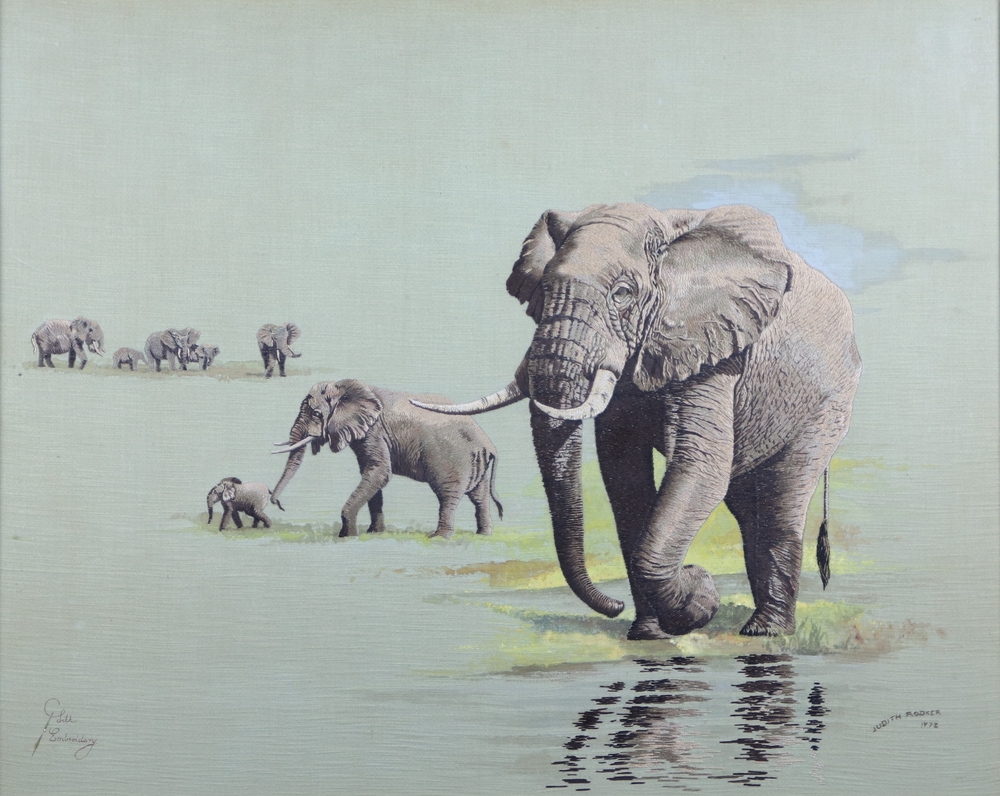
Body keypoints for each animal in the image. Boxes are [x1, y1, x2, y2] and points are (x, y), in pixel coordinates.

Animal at [270, 380, 503, 539]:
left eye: (317, 414)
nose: (277, 503)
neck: (345, 387)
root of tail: (489, 445)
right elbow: (371, 474)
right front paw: (374, 533)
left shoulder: (375, 432)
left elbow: (380, 473)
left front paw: (347, 537)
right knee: (479, 497)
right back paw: (483, 535)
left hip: (452, 461)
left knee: (447, 495)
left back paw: (438, 538)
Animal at [414, 203, 861, 639]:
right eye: (544, 291)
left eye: (622, 294)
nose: (614, 606)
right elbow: (623, 475)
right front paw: (651, 633)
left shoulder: (714, 347)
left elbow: (700, 466)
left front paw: (698, 598)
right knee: (748, 505)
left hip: (827, 405)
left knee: (779, 503)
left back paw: (765, 634)